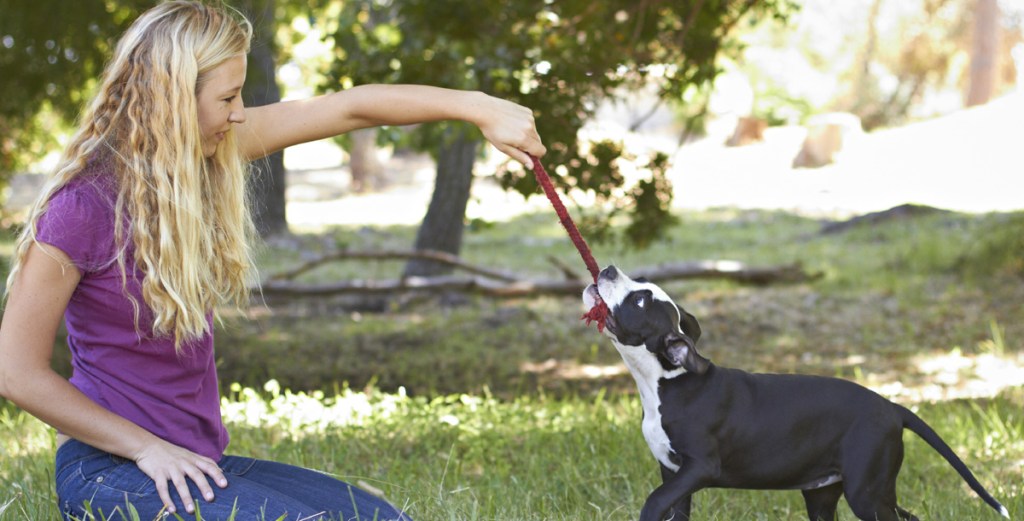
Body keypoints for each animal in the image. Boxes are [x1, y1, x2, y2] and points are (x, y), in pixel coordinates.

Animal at [585, 266, 1007, 517]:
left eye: (640, 299)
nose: (607, 269)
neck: (668, 381)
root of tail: (891, 407)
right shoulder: (674, 475)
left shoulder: (700, 467)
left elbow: (654, 501)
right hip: (826, 494)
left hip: (867, 492)